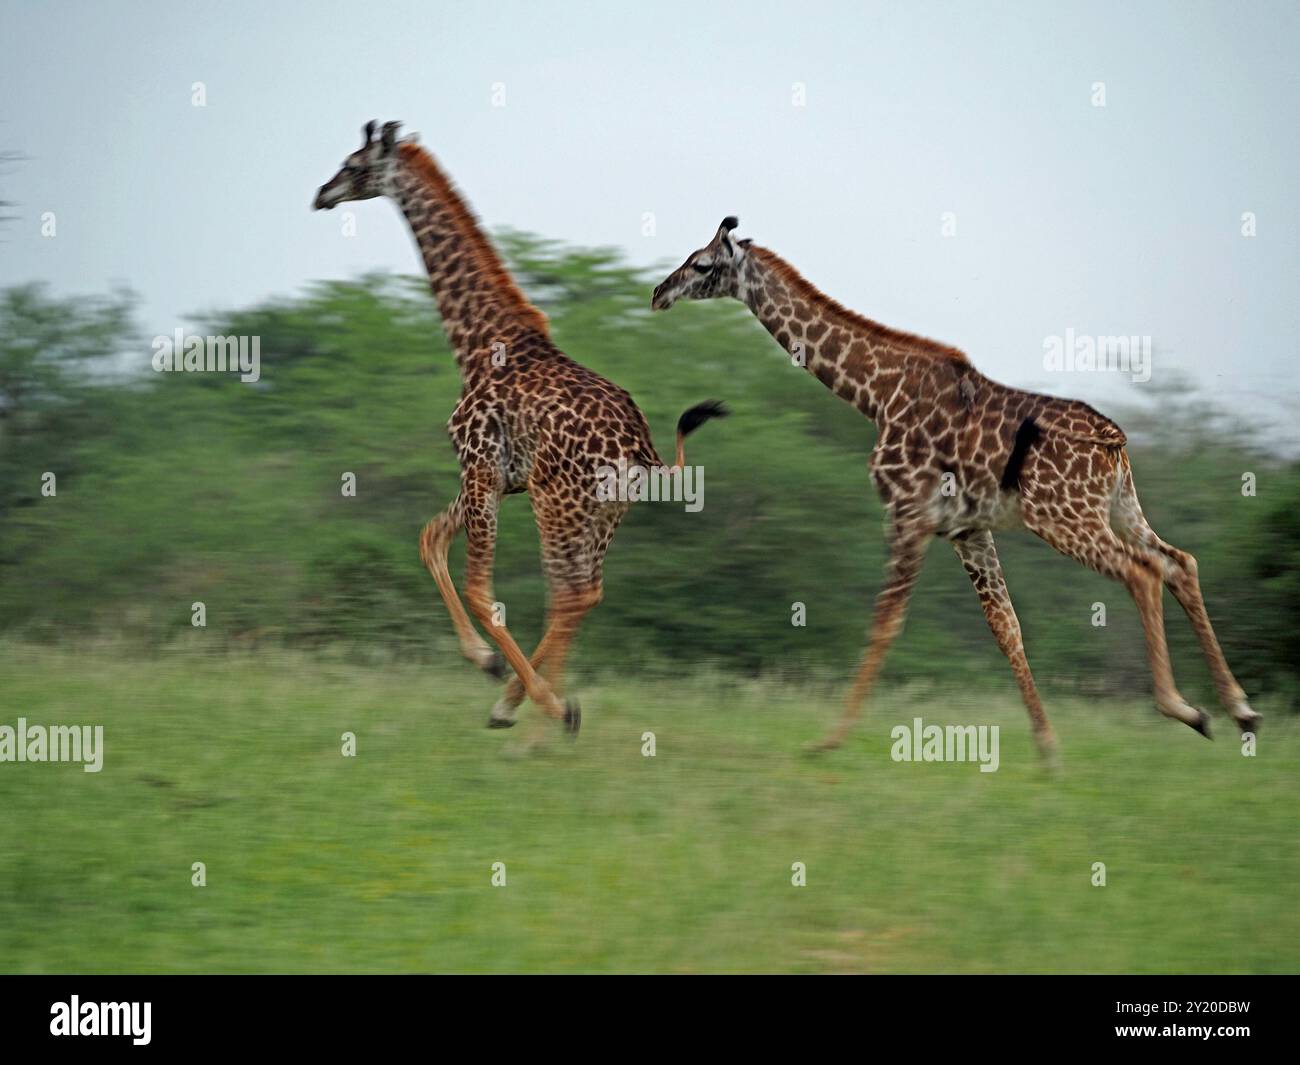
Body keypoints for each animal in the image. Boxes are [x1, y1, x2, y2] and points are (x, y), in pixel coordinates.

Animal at [310, 118, 728, 733]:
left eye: (355, 164)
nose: (323, 194)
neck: (479, 342)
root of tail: (643, 451)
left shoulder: (480, 466)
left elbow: (480, 588)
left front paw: (505, 677)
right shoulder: (496, 479)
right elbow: (430, 537)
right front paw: (490, 668)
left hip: (557, 502)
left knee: (570, 591)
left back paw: (544, 708)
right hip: (602, 514)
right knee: (585, 592)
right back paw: (525, 703)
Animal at [650, 217, 1258, 759]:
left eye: (701, 264)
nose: (659, 292)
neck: (875, 396)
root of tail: (1115, 440)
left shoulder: (908, 512)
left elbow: (885, 622)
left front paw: (827, 741)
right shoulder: (967, 529)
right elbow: (1006, 627)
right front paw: (1048, 748)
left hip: (1064, 517)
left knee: (1143, 570)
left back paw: (1185, 709)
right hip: (1119, 507)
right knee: (1179, 561)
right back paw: (1240, 710)